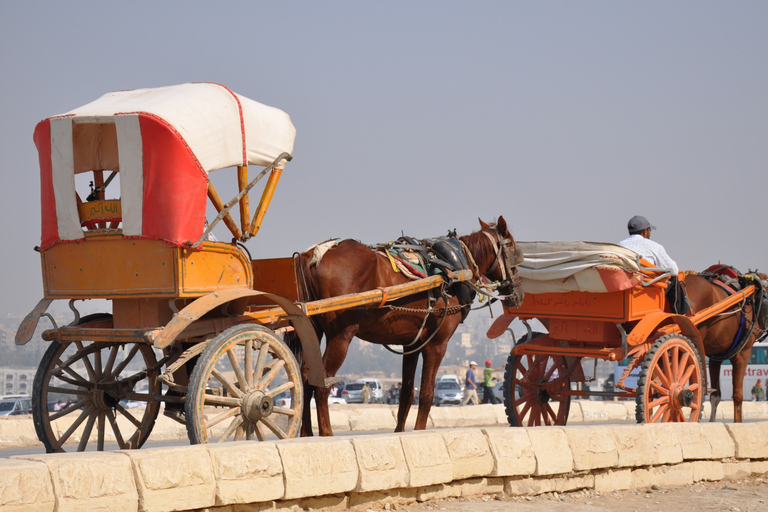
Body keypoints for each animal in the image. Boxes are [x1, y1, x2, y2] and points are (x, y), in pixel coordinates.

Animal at [288, 216, 520, 436]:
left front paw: (400, 431)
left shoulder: (412, 345)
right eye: (513, 250)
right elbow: (426, 393)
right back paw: (325, 433)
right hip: (341, 334)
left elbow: (407, 392)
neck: (453, 268)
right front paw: (419, 430)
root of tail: (311, 256)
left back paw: (307, 433)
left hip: (311, 330)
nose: (517, 293)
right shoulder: (437, 344)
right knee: (322, 380)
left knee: (305, 376)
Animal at [684, 270, 768, 422]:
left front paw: (712, 422)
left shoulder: (715, 357)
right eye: (765, 300)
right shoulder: (743, 354)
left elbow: (715, 395)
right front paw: (737, 422)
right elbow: (738, 395)